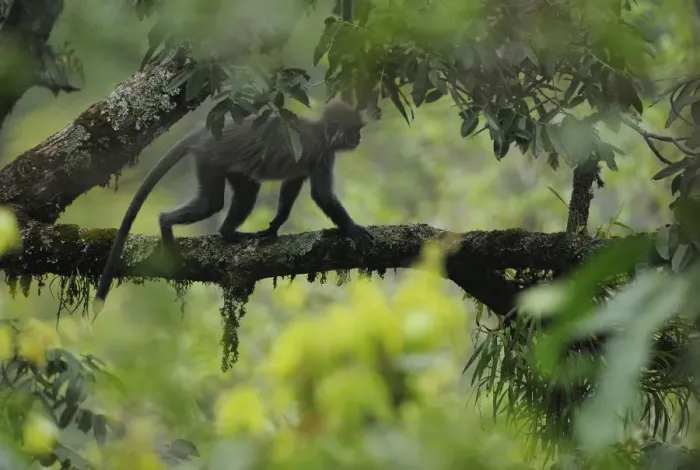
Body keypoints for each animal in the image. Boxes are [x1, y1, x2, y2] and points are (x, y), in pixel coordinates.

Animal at [93, 100, 374, 313]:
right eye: (354, 130)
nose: (360, 138)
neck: (321, 132)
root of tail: (204, 133)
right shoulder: (321, 153)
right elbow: (322, 196)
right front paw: (353, 229)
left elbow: (291, 185)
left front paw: (273, 227)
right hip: (210, 158)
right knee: (211, 203)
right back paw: (166, 223)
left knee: (247, 192)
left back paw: (228, 233)